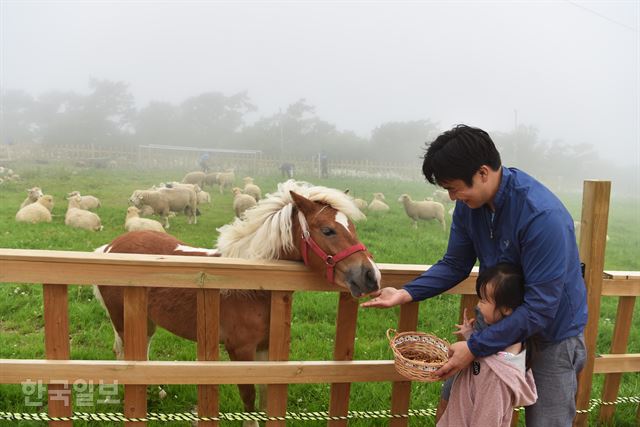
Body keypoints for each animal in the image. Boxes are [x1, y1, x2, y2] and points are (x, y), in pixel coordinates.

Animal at [95, 180, 380, 424]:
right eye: (328, 230)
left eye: (353, 228)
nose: (371, 276)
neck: (251, 285)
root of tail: (109, 247)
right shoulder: (239, 351)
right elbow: (249, 397)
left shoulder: (265, 347)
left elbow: (265, 395)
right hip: (123, 319)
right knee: (124, 353)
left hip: (147, 320)